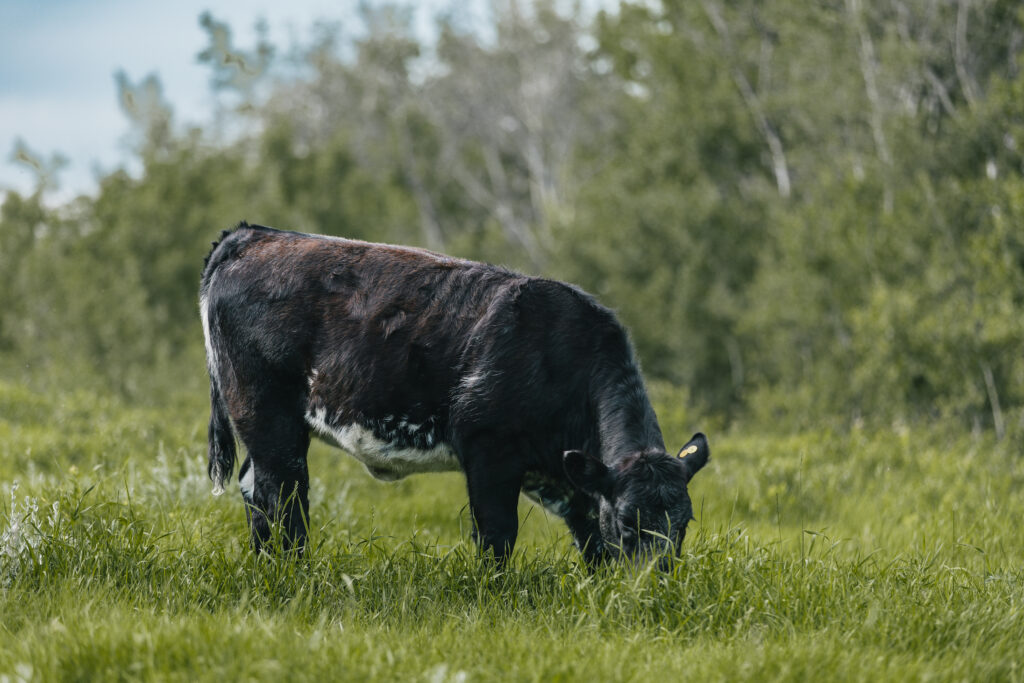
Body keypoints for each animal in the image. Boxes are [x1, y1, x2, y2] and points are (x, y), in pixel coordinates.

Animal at [200, 222, 710, 565]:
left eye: (683, 523)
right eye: (628, 522)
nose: (654, 582)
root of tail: (254, 235)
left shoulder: (576, 479)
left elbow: (592, 543)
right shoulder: (489, 451)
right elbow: (497, 535)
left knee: (256, 488)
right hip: (267, 414)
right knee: (281, 496)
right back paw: (292, 570)